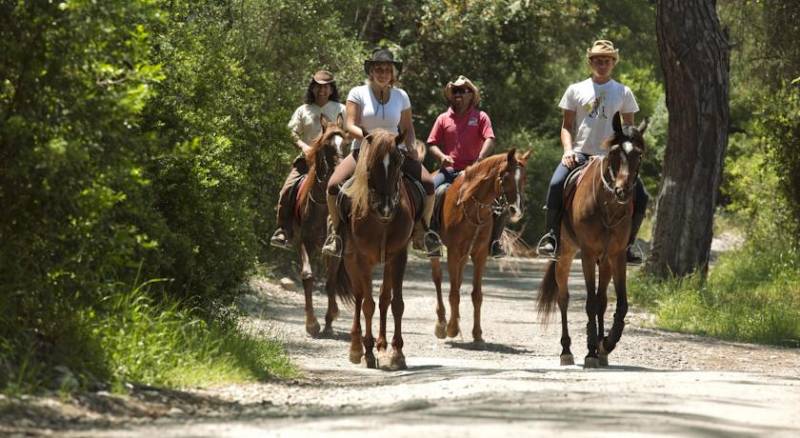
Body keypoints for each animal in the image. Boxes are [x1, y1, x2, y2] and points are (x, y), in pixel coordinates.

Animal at [324, 129, 416, 370]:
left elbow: (396, 304)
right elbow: (367, 304)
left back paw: (382, 347)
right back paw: (357, 348)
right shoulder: (363, 259)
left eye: (398, 161)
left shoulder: (398, 256)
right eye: (370, 164)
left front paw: (397, 353)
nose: (386, 207)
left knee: (384, 298)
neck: (381, 220)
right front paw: (367, 352)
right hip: (350, 259)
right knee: (359, 297)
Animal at [432, 149, 532, 344]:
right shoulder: (453, 252)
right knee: (438, 279)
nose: (516, 210)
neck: (473, 208)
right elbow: (453, 293)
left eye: (524, 178)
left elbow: (476, 295)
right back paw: (441, 324)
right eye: (505, 176)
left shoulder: (479, 255)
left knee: (457, 282)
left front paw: (477, 333)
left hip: (464, 256)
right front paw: (451, 329)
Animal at [536, 112, 648, 366]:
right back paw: (566, 351)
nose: (623, 192)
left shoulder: (616, 255)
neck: (607, 207)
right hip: (566, 254)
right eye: (614, 153)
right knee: (564, 298)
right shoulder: (587, 254)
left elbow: (618, 303)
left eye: (638, 155)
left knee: (602, 300)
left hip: (604, 261)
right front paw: (590, 350)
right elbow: (589, 302)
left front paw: (605, 344)